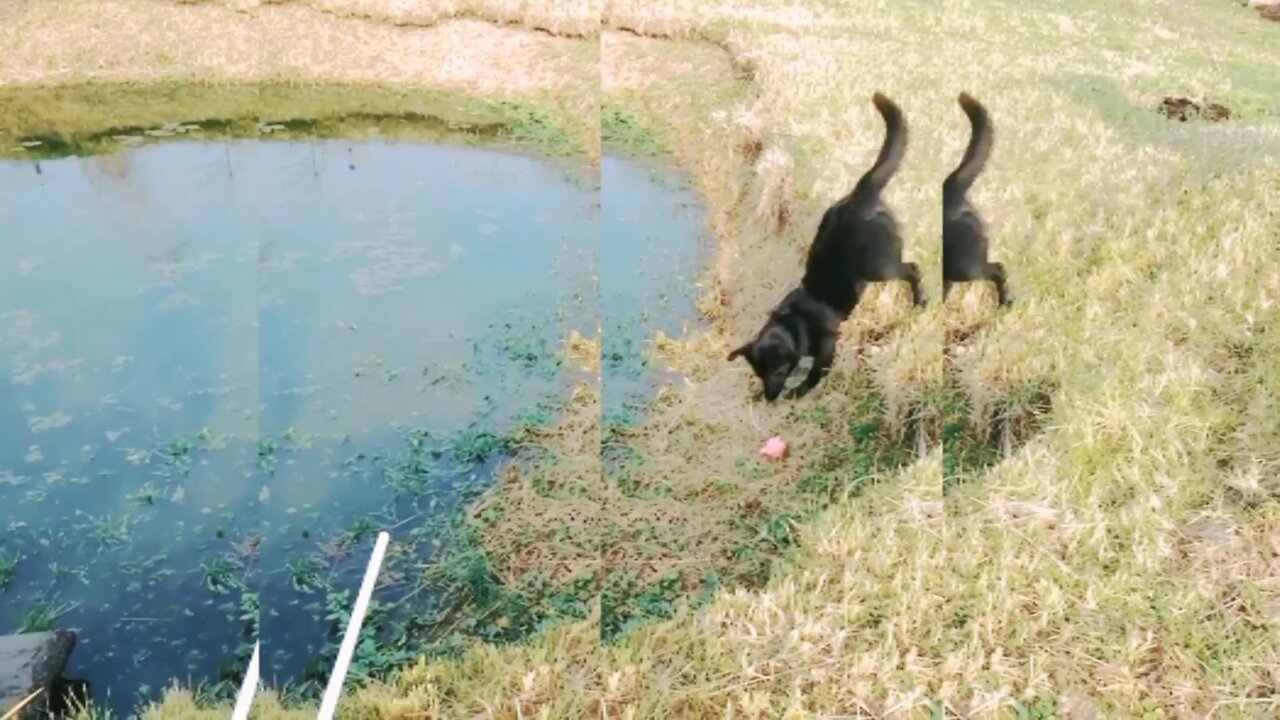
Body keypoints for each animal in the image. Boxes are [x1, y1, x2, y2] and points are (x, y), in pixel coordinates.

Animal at [732, 92, 921, 399]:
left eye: (778, 372)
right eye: (759, 374)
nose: (769, 400)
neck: (797, 323)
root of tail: (860, 194)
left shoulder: (827, 349)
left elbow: (814, 374)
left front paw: (799, 391)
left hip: (878, 266)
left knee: (912, 269)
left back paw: (919, 300)